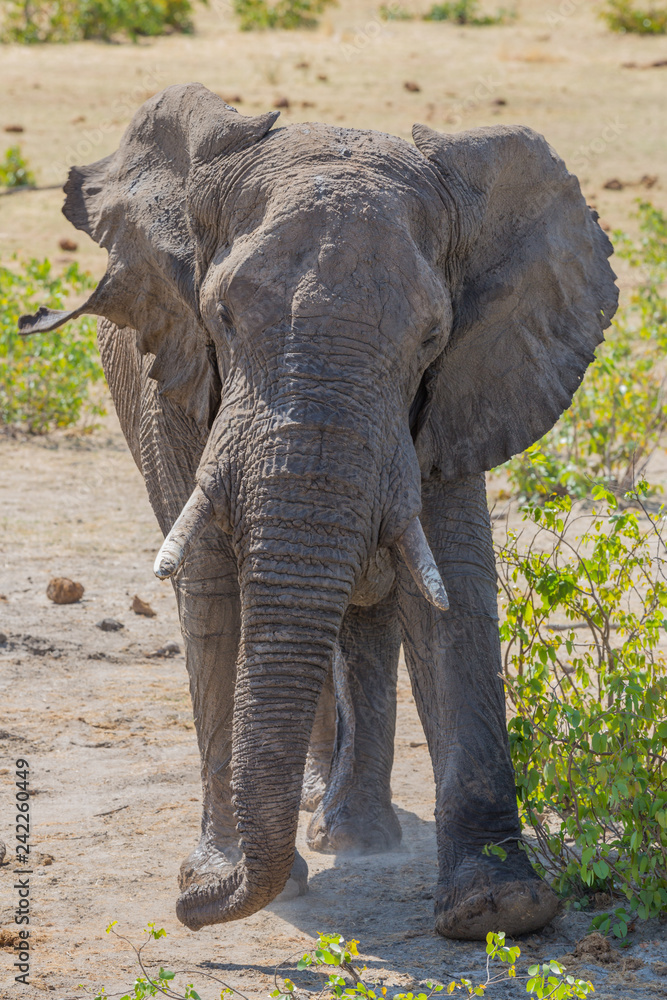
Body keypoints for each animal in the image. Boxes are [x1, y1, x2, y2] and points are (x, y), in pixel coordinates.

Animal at [20, 84, 618, 941]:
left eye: (431, 337)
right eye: (222, 317)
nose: (187, 913)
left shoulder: (463, 389)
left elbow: (452, 588)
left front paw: (499, 910)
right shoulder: (181, 378)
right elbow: (213, 589)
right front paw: (218, 874)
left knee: (363, 617)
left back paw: (350, 835)